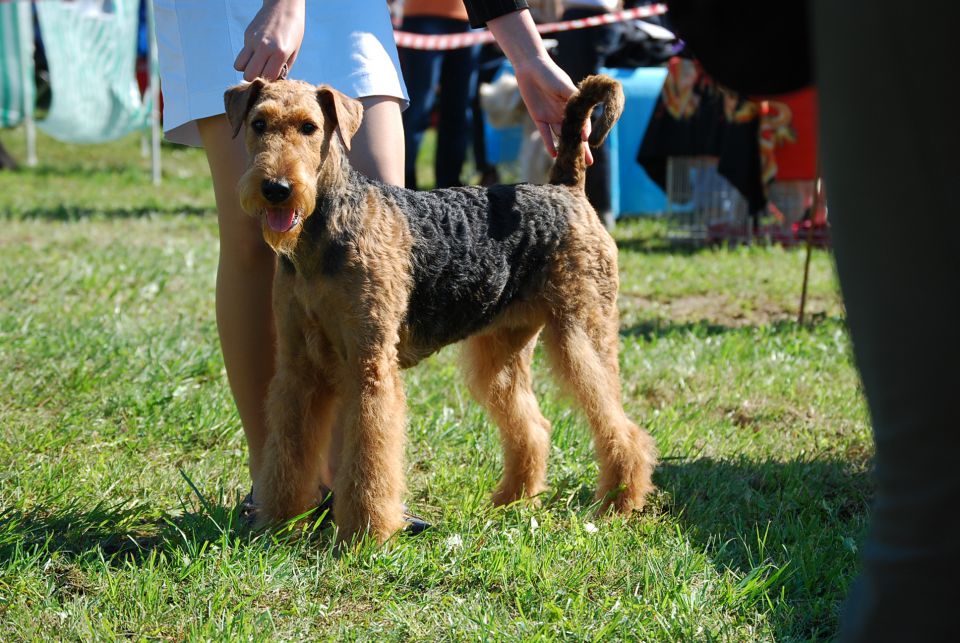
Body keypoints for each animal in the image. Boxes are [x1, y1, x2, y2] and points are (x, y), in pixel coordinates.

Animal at [226, 76, 660, 548]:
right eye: (259, 123)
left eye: (309, 127)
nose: (276, 189)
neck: (321, 237)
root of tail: (565, 188)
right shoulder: (298, 367)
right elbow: (287, 448)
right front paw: (278, 522)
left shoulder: (370, 365)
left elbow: (370, 453)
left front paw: (365, 532)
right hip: (501, 352)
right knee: (533, 427)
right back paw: (512, 500)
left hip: (581, 334)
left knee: (622, 427)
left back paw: (619, 503)